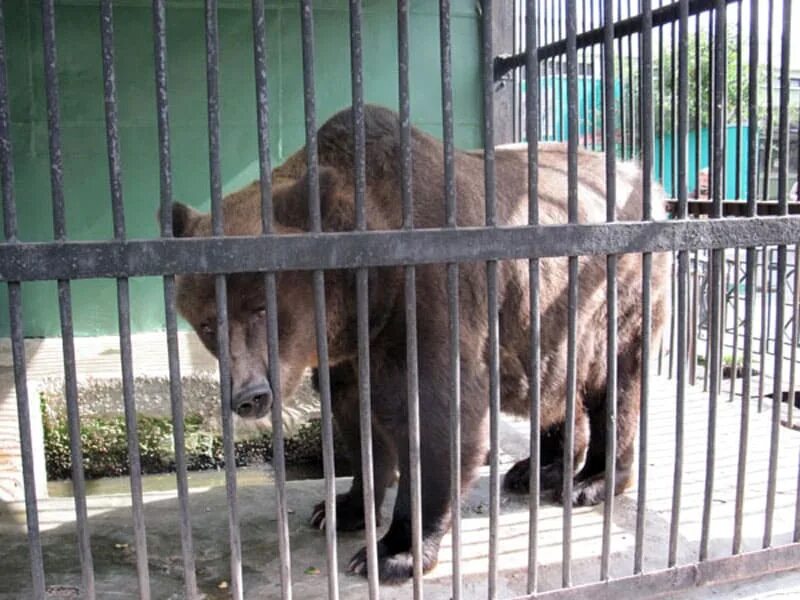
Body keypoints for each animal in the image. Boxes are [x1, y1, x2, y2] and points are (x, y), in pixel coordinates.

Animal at [173, 105, 668, 584]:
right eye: (207, 323)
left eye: (262, 308)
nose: (250, 395)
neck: (366, 297)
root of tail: (648, 181)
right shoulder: (352, 355)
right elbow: (357, 423)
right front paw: (339, 509)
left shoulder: (431, 307)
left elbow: (437, 424)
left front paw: (393, 554)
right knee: (552, 390)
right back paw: (536, 469)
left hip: (613, 298)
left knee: (617, 384)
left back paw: (590, 481)